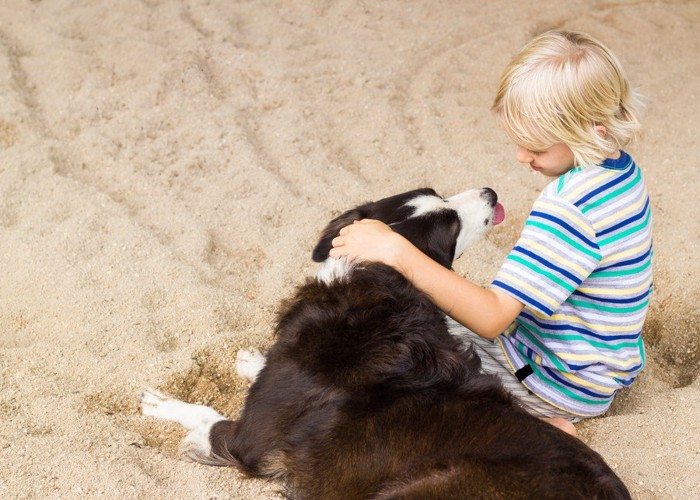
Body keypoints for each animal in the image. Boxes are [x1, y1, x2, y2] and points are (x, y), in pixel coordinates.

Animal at [139, 188, 632, 500]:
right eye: (441, 206)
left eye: (451, 225)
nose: (491, 193)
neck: (371, 283)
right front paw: (251, 360)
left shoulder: (252, 439)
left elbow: (209, 418)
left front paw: (165, 407)